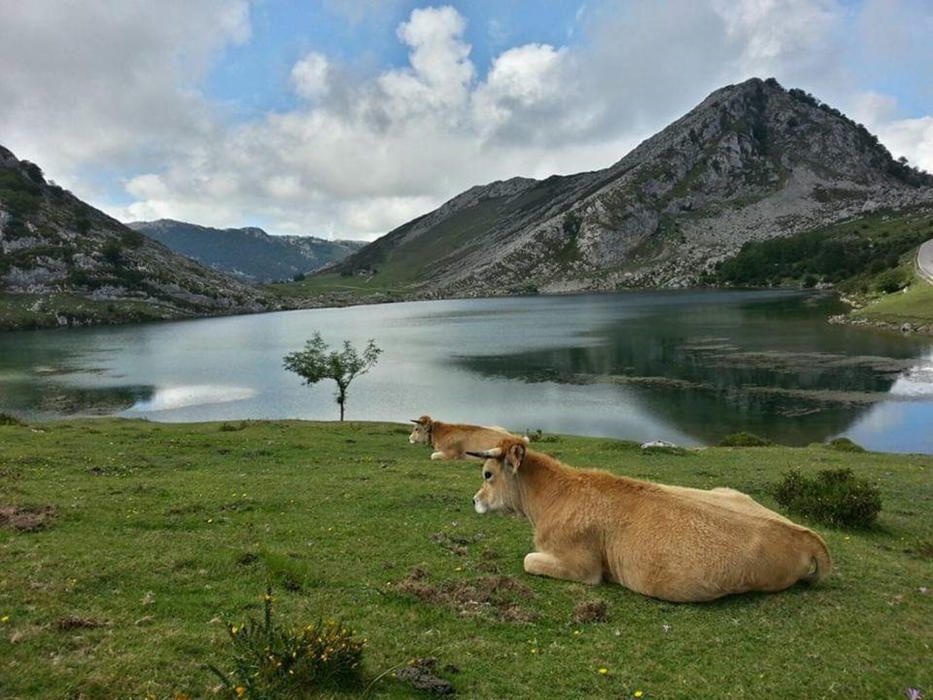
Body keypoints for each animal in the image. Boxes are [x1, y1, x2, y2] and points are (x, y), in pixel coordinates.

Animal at [466, 438, 832, 600]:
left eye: (487, 474)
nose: (474, 501)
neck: (554, 496)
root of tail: (805, 533)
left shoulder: (582, 567)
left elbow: (529, 560)